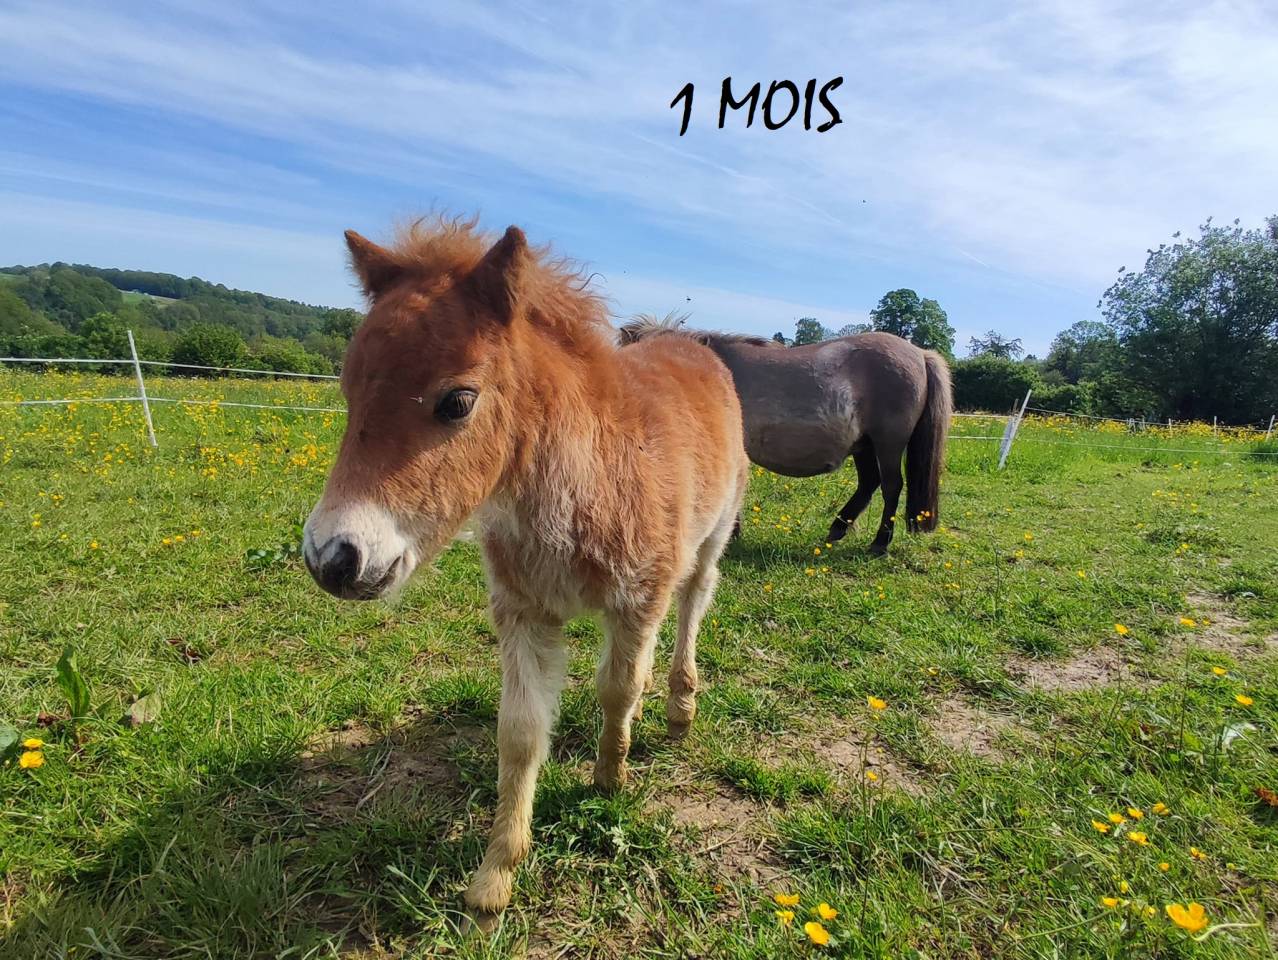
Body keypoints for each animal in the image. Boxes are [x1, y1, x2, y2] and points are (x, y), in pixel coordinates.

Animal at [302, 219, 749, 926]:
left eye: (457, 402)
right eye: (349, 395)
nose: (334, 559)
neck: (585, 484)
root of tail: (688, 343)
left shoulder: (637, 598)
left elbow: (616, 689)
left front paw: (610, 779)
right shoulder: (523, 613)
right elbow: (519, 731)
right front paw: (495, 876)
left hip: (711, 538)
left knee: (692, 606)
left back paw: (680, 704)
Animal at [620, 318, 952, 555]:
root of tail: (920, 353)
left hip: (888, 444)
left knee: (891, 487)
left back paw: (880, 543)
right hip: (865, 446)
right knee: (869, 484)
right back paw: (837, 529)